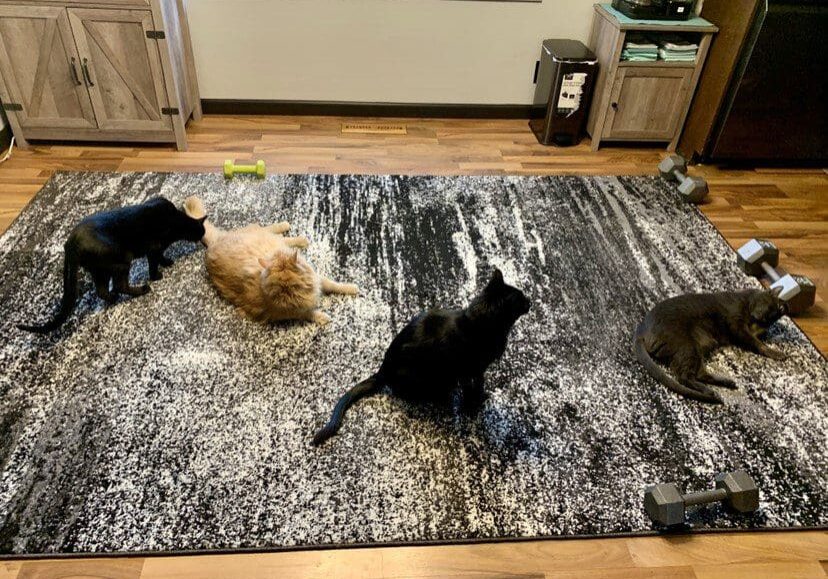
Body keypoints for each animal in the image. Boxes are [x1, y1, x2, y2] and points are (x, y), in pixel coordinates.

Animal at [17, 198, 206, 336]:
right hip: (121, 261)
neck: (176, 220)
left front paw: (167, 262)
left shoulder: (155, 249)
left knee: (102, 291)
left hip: (100, 269)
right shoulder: (153, 248)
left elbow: (160, 257)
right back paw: (142, 290)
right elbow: (154, 264)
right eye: (202, 232)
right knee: (120, 285)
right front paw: (158, 274)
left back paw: (113, 298)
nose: (202, 238)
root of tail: (69, 245)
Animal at [184, 196, 356, 326]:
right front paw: (322, 317)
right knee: (278, 235)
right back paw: (298, 237)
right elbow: (310, 313)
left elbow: (334, 285)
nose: (277, 253)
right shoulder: (294, 312)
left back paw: (295, 235)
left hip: (262, 234)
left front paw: (352, 288)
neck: (290, 290)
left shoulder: (318, 279)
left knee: (275, 232)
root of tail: (214, 241)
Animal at [310, 270, 532, 446]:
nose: (531, 301)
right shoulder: (472, 370)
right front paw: (477, 403)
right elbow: (475, 386)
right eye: (521, 299)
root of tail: (383, 369)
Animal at [632, 288, 788, 406]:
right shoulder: (737, 325)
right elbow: (757, 344)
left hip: (697, 349)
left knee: (698, 374)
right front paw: (778, 353)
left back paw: (728, 383)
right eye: (771, 307)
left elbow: (757, 340)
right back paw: (711, 392)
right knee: (683, 377)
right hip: (687, 346)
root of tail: (640, 331)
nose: (764, 319)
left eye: (771, 318)